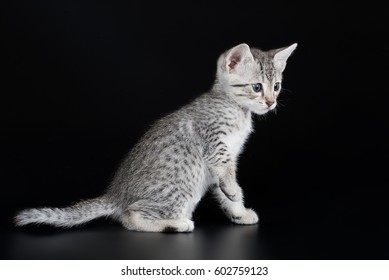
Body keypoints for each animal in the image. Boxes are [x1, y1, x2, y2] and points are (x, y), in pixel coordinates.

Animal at [13, 42, 296, 232]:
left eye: (277, 86)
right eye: (256, 87)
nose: (271, 102)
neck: (234, 108)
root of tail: (116, 194)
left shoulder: (226, 156)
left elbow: (224, 189)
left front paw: (238, 212)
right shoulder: (215, 143)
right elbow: (227, 176)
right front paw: (236, 193)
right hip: (182, 186)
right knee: (129, 216)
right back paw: (176, 224)